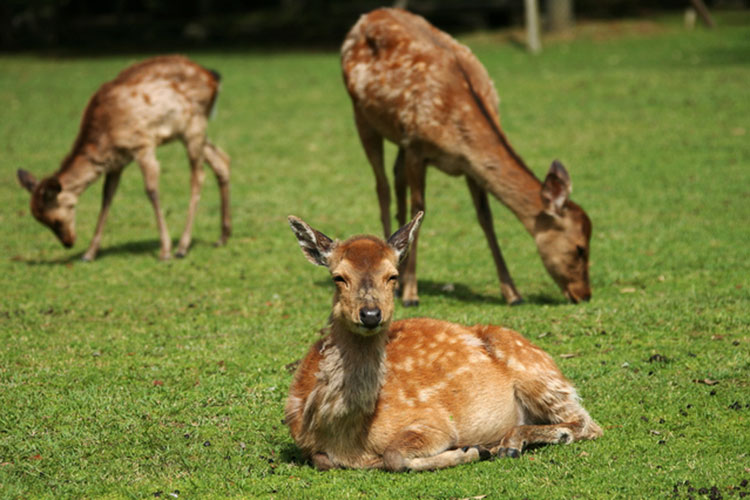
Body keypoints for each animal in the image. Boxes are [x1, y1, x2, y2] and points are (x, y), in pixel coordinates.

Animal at [15, 54, 232, 262]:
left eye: (55, 220)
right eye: (41, 221)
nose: (68, 243)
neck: (105, 138)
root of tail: (214, 78)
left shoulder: (143, 144)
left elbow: (151, 191)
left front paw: (165, 251)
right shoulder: (117, 162)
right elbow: (107, 197)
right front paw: (89, 254)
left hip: (194, 126)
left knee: (198, 176)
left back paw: (182, 247)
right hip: (190, 132)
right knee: (222, 159)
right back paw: (222, 237)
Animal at [284, 213, 604, 470]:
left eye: (393, 276)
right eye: (338, 277)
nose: (371, 314)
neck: (350, 438)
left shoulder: (434, 422)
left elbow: (394, 456)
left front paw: (471, 450)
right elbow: (323, 460)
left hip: (539, 374)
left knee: (588, 423)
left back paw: (510, 443)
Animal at [340, 7, 592, 304]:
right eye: (580, 248)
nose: (584, 294)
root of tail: (366, 16)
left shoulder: (469, 166)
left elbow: (486, 218)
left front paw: (512, 293)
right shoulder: (416, 147)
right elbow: (419, 212)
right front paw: (412, 293)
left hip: (397, 131)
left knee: (396, 176)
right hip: (362, 114)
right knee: (382, 186)